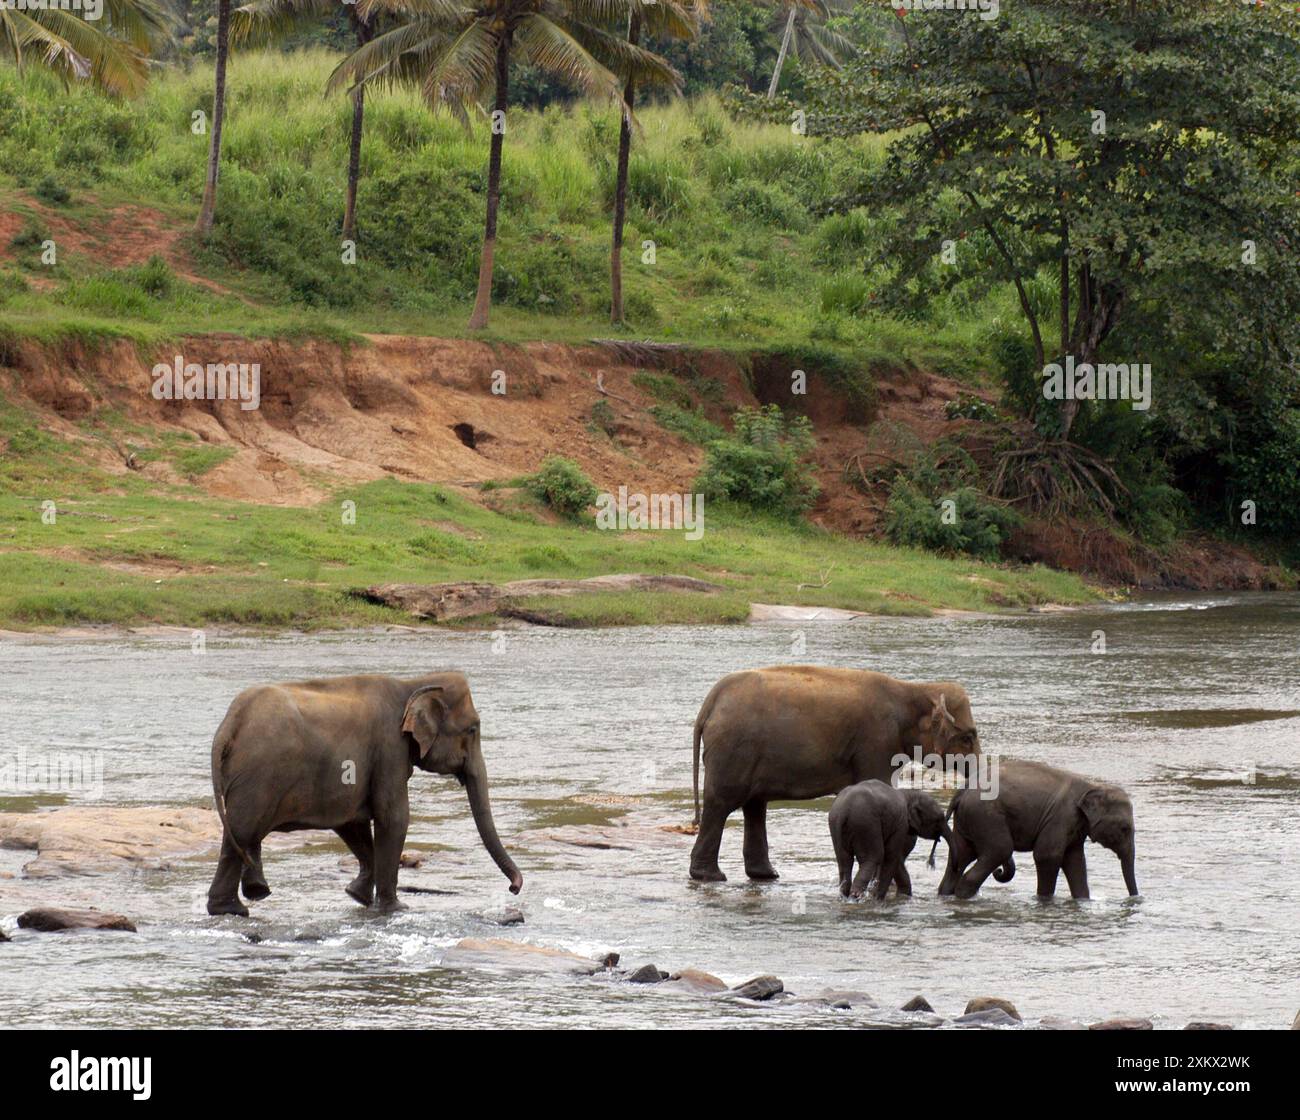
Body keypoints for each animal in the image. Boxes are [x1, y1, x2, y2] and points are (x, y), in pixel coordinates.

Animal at [205, 670, 520, 914]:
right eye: (472, 729)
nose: (514, 888)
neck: (413, 683)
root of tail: (228, 725)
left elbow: (352, 822)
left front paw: (358, 896)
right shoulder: (389, 747)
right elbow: (393, 818)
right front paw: (395, 908)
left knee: (242, 834)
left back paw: (246, 898)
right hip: (258, 776)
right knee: (243, 831)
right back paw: (233, 908)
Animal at [691, 665, 977, 883]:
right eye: (968, 737)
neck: (913, 689)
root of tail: (710, 703)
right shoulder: (876, 741)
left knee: (754, 806)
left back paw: (766, 876)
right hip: (734, 750)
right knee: (722, 804)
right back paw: (710, 877)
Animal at [935, 753, 1138, 904]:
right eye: (1125, 828)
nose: (1134, 899)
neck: (1092, 786)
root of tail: (961, 792)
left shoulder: (1074, 826)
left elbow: (1075, 861)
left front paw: (1083, 901)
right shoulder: (1061, 818)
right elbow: (1047, 855)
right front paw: (1045, 901)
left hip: (966, 822)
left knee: (961, 857)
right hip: (985, 817)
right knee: (1000, 850)